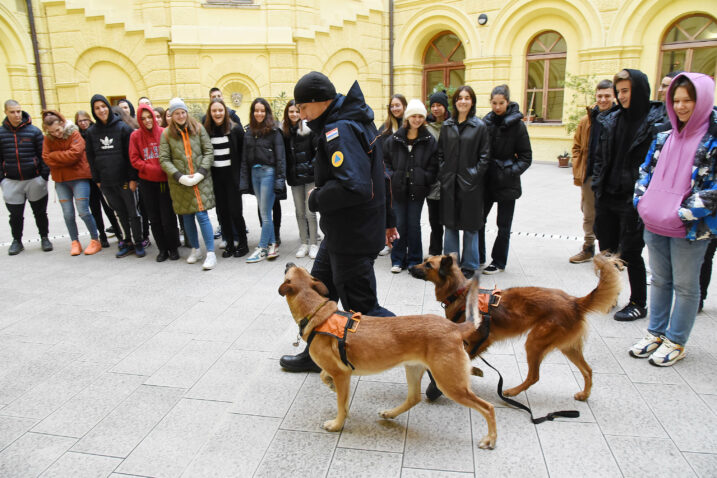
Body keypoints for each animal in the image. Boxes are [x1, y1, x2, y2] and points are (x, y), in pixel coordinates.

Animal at [280, 264, 498, 450]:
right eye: (301, 269)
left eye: (288, 272)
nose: (289, 263)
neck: (317, 313)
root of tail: (455, 328)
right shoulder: (341, 371)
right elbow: (324, 377)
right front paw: (330, 385)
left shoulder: (342, 375)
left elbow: (341, 404)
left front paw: (337, 424)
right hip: (414, 369)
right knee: (413, 398)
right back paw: (391, 413)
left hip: (450, 383)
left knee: (488, 408)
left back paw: (490, 439)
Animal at [408, 252, 620, 402]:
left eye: (428, 264)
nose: (409, 267)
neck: (460, 293)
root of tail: (574, 302)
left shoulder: (481, 340)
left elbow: (466, 357)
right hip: (568, 347)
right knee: (588, 370)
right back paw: (584, 395)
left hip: (535, 342)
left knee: (534, 376)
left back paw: (512, 391)